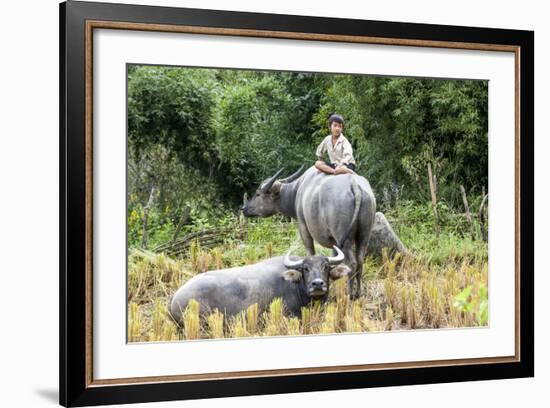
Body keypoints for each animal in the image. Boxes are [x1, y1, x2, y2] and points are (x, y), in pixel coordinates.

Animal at [244, 165, 378, 296]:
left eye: (258, 194)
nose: (244, 209)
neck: (297, 191)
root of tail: (354, 185)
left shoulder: (303, 228)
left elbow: (311, 254)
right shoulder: (334, 242)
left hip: (345, 238)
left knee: (352, 263)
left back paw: (350, 294)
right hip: (364, 236)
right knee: (360, 261)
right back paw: (359, 293)